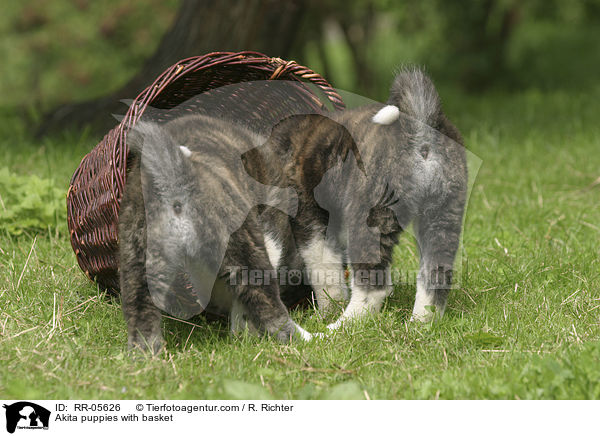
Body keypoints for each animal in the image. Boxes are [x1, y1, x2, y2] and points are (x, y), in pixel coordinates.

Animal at [244, 67, 468, 328]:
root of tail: (420, 123)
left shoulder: (310, 218)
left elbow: (324, 269)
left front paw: (328, 311)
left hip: (370, 217)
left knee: (372, 287)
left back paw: (340, 326)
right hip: (442, 216)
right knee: (435, 279)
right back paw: (419, 324)